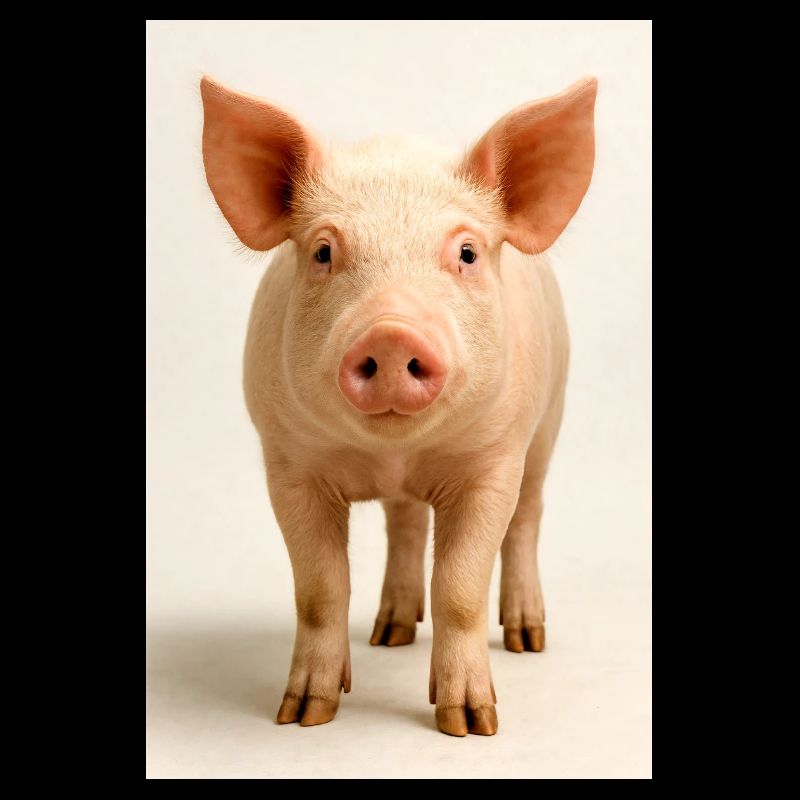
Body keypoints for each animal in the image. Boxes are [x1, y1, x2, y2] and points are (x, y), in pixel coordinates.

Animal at [200, 74, 597, 737]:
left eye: (466, 253)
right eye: (323, 252)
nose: (390, 333)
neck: (395, 453)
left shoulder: (494, 460)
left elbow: (460, 586)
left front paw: (472, 725)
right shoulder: (287, 463)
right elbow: (320, 588)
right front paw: (303, 716)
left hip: (551, 420)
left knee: (527, 519)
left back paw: (526, 639)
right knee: (406, 523)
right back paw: (389, 635)